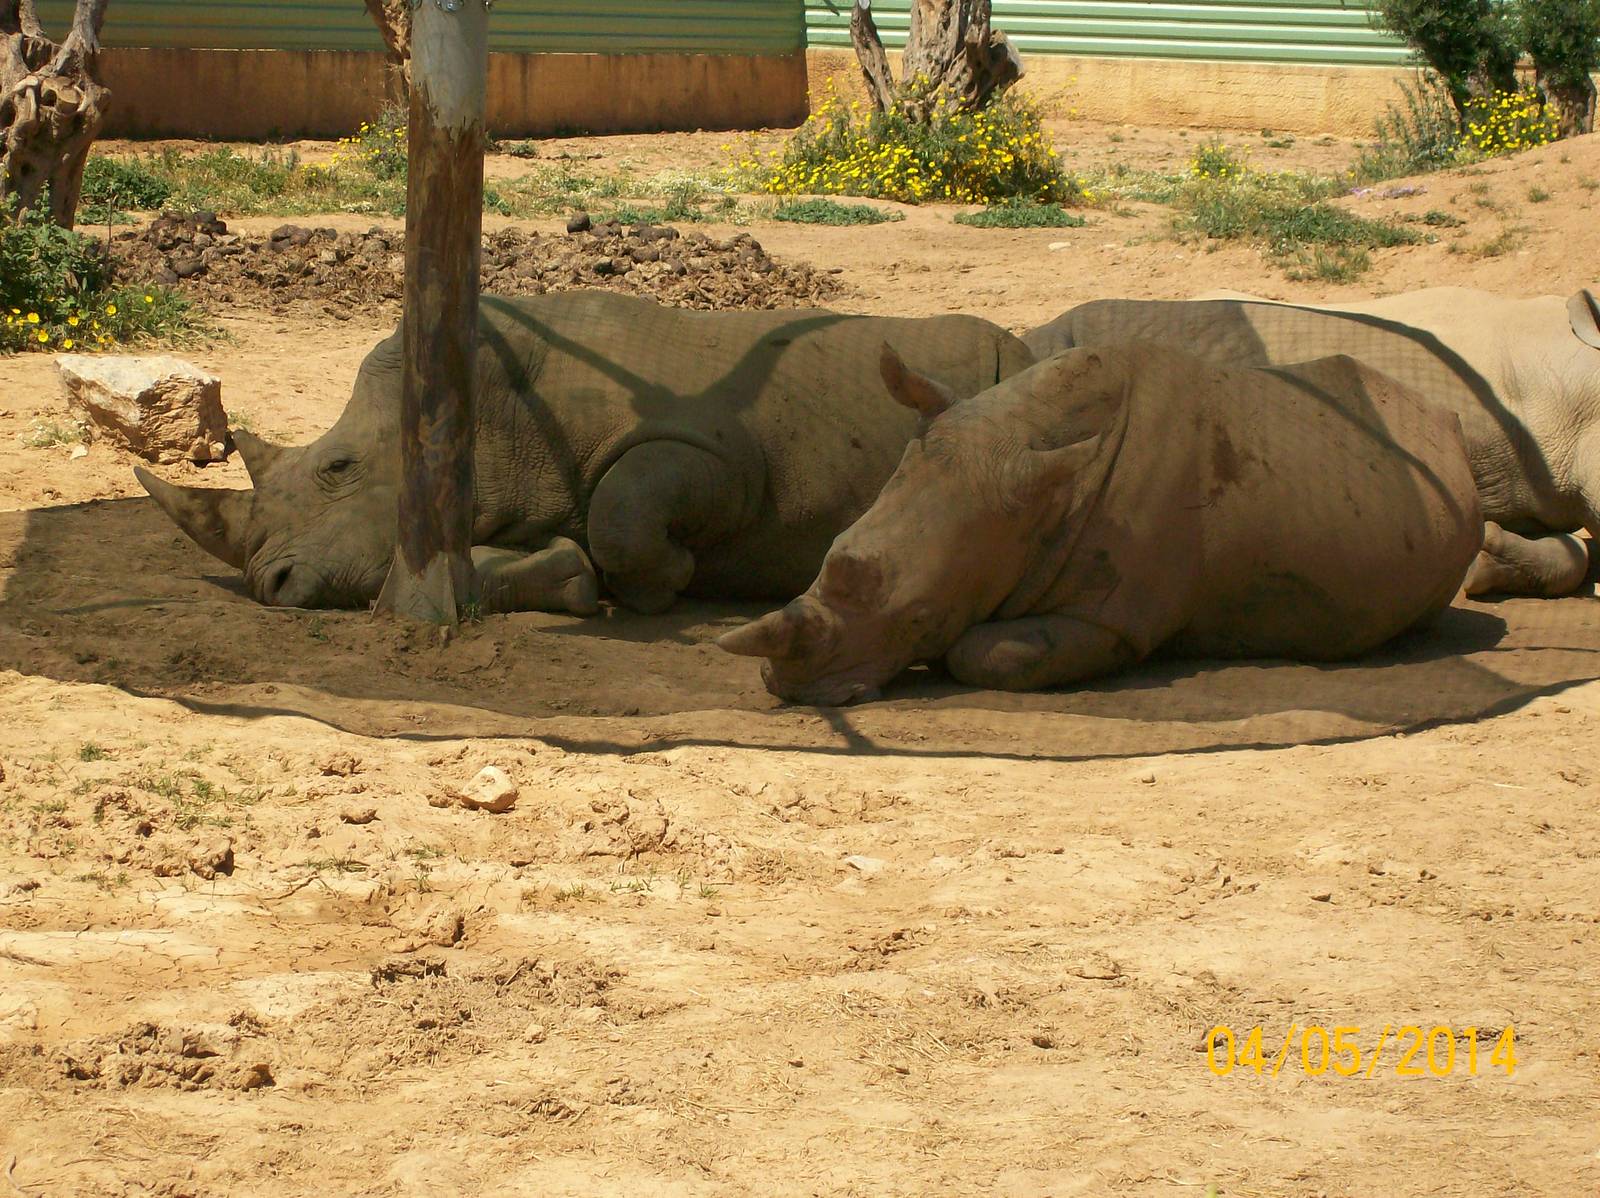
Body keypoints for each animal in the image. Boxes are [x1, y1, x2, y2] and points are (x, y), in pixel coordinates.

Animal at [136, 291, 1032, 613]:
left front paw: (665, 585)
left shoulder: (720, 451)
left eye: (339, 468)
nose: (269, 586)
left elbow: (624, 510)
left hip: (1004, 371)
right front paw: (574, 580)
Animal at [719, 343, 1482, 704]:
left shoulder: (1115, 618)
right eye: (832, 551)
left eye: (920, 620)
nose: (786, 689)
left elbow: (986, 652)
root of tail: (1445, 420)